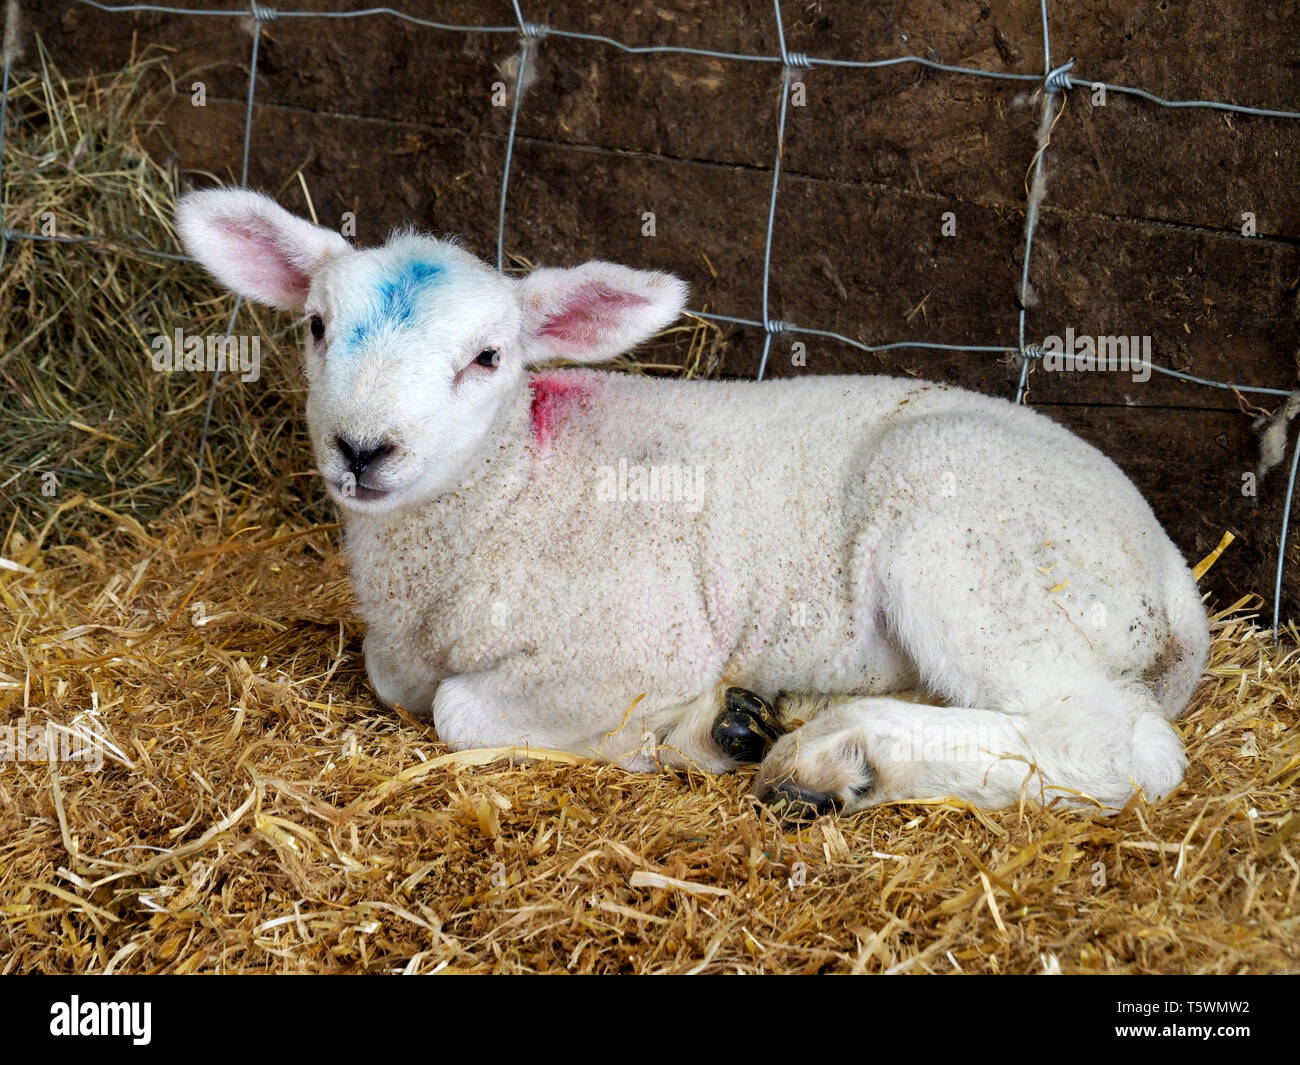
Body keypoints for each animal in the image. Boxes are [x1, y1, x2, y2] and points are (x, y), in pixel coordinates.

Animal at [178, 185, 1211, 816]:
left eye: (488, 358)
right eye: (317, 326)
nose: (363, 450)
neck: (509, 489)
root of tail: (1171, 572)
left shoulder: (638, 640)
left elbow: (458, 713)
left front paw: (675, 731)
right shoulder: (398, 654)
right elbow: (403, 688)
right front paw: (722, 723)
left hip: (970, 546)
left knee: (1111, 746)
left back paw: (842, 756)